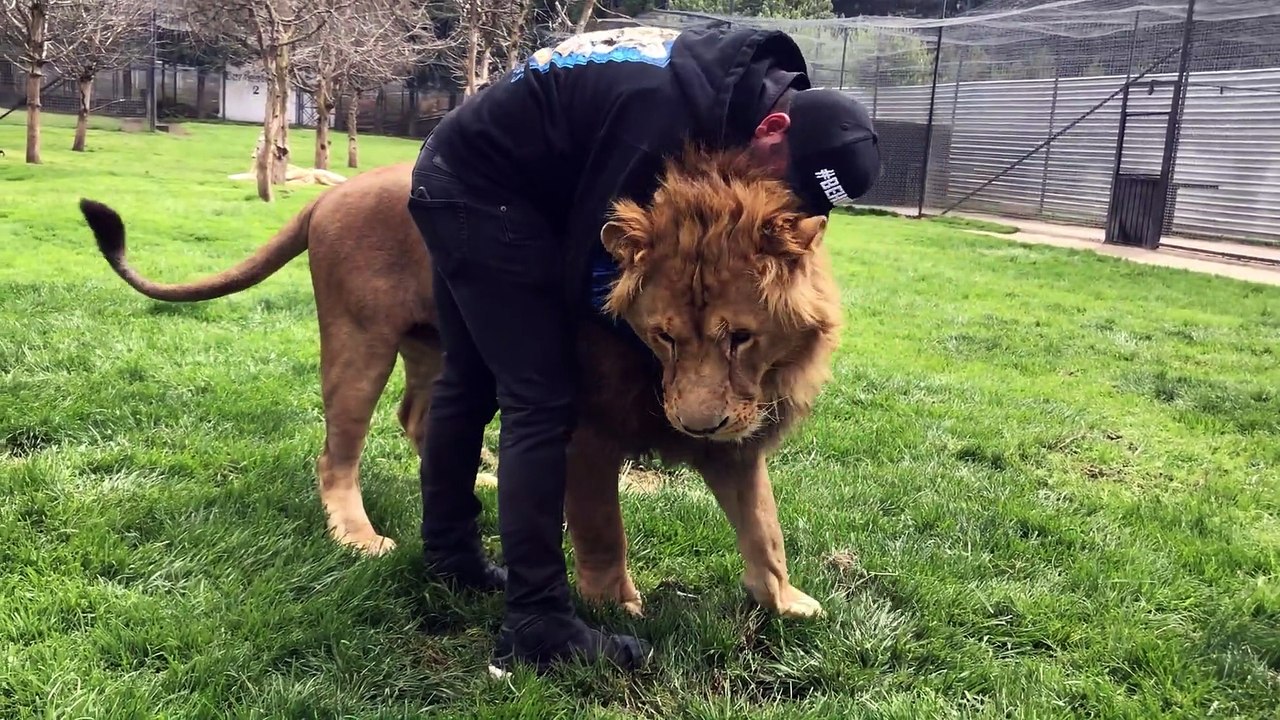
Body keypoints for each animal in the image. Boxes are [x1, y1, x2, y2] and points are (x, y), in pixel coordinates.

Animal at [77, 143, 843, 619]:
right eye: (664, 336)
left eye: (740, 336)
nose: (695, 423)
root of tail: (327, 199)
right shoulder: (589, 430)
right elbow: (602, 527)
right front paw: (613, 604)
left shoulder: (737, 436)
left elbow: (764, 528)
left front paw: (786, 603)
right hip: (360, 343)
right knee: (337, 452)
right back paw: (357, 535)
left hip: (440, 348)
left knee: (422, 421)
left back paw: (480, 478)